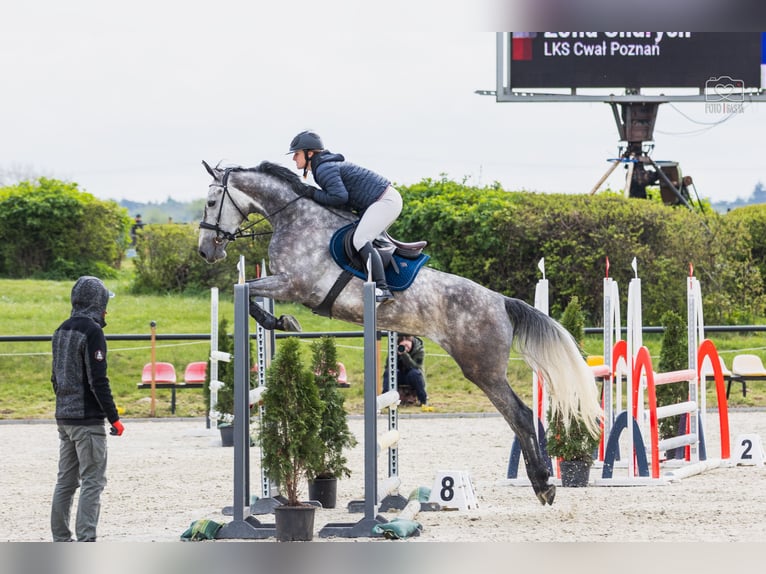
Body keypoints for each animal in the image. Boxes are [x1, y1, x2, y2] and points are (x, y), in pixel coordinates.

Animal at [195, 160, 604, 506]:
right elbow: (249, 292)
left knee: (519, 414)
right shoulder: (287, 284)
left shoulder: (295, 284)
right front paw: (280, 322)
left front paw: (283, 322)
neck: (296, 219)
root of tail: (501, 301)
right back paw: (543, 481)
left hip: (481, 368)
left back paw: (544, 484)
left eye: (212, 201)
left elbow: (246, 291)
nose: (205, 252)